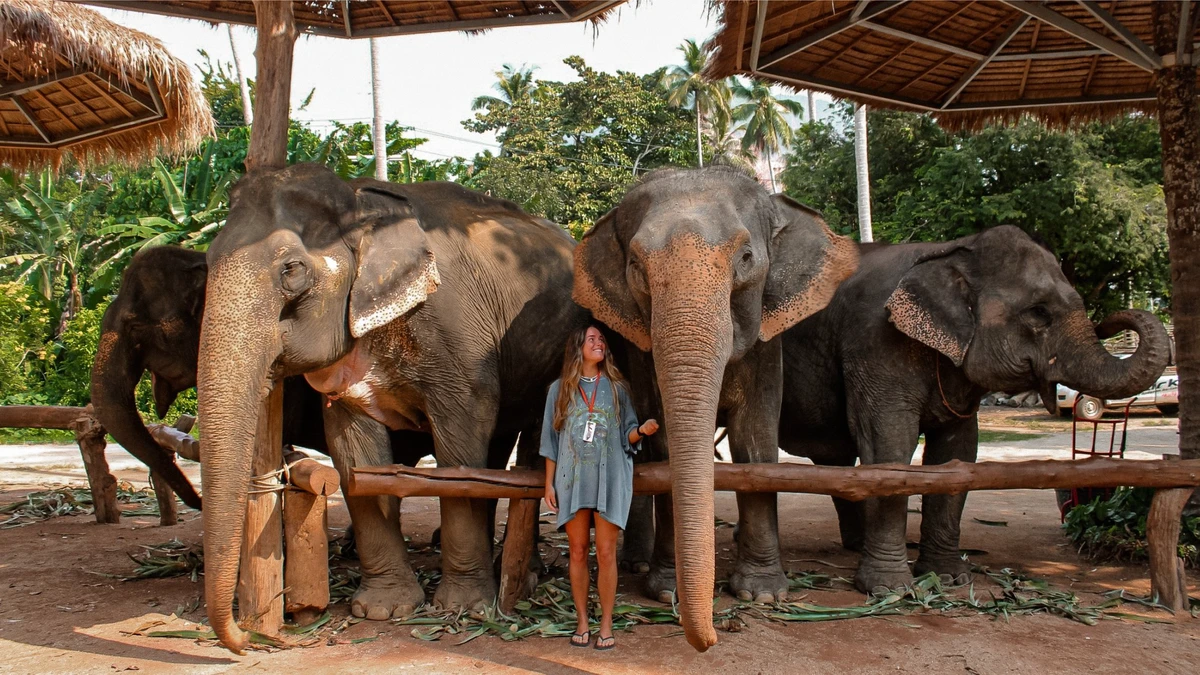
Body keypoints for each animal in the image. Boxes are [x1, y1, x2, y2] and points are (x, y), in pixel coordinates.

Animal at [196, 163, 585, 653]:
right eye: (208, 259)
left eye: (292, 269)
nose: (246, 638)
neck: (361, 203)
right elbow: (356, 457)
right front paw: (384, 610)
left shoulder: (459, 338)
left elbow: (458, 446)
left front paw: (462, 608)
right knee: (496, 455)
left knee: (527, 447)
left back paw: (525, 576)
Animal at [568, 165, 854, 648]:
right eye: (635, 266)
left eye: (746, 257)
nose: (712, 639)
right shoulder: (640, 350)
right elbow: (664, 448)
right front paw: (665, 591)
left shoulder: (766, 345)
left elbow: (754, 440)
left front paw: (763, 595)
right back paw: (635, 564)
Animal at [777, 224, 1171, 588]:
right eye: (1039, 312)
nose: (1110, 321)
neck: (950, 251)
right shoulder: (874, 342)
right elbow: (888, 443)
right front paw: (889, 588)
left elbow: (958, 451)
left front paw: (950, 579)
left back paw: (857, 546)